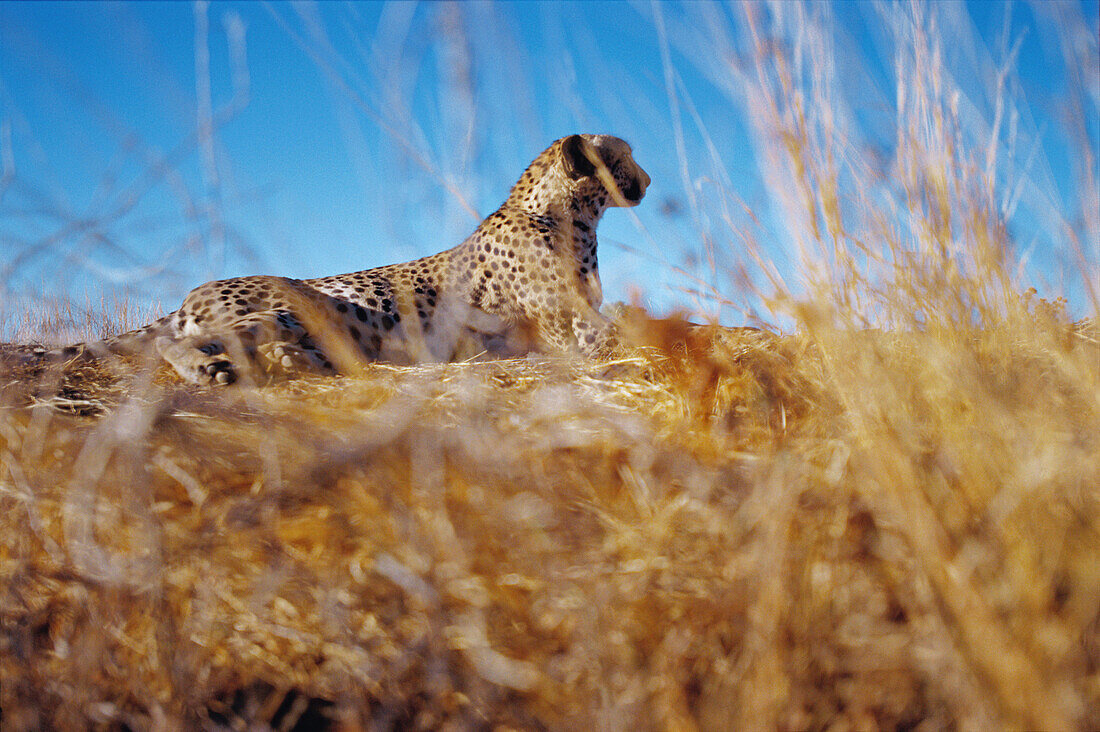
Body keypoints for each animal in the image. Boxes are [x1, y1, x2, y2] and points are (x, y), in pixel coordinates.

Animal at [19, 134, 642, 385]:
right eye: (624, 154)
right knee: (174, 347)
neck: (573, 215)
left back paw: (293, 363)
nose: (648, 179)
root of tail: (189, 294)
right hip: (292, 305)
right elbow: (615, 329)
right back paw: (206, 370)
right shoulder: (567, 326)